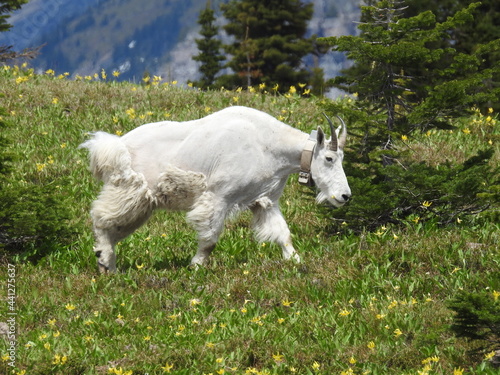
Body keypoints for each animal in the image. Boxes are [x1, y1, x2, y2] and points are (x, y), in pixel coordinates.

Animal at [80, 106, 350, 274]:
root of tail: (116, 146)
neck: (269, 145)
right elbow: (210, 239)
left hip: (144, 204)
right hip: (131, 190)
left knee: (113, 227)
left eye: (342, 157)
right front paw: (196, 266)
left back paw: (107, 264)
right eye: (329, 158)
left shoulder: (265, 201)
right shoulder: (219, 196)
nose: (345, 196)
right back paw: (105, 258)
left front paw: (297, 262)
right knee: (101, 218)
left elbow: (283, 235)